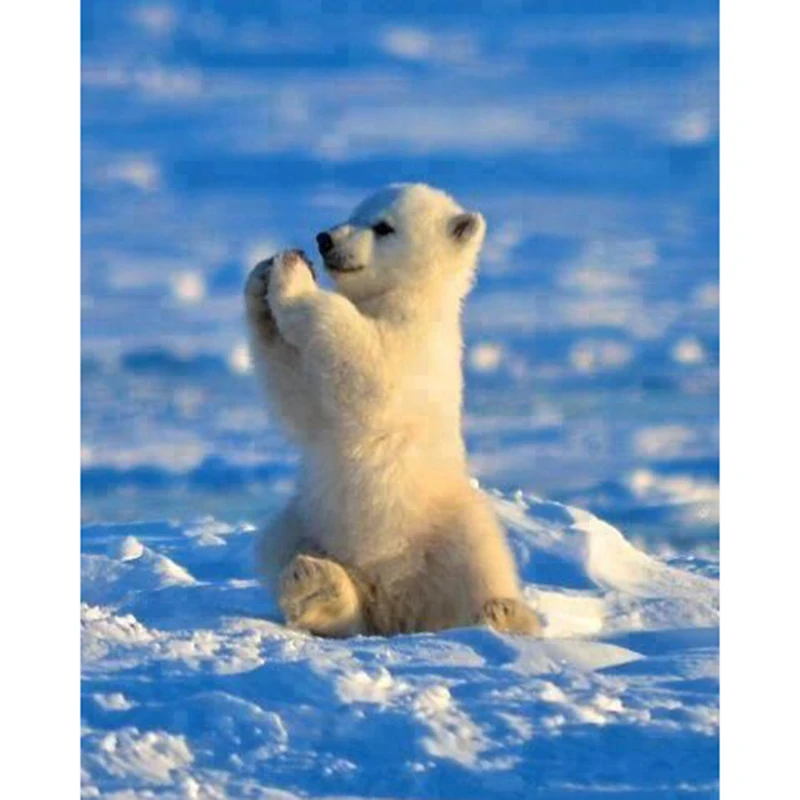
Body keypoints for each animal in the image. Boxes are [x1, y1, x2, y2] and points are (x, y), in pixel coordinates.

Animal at [245, 183, 542, 638]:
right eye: (354, 212)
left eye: (384, 226)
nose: (324, 240)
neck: (406, 300)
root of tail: (395, 605)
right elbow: (300, 396)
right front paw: (262, 277)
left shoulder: (416, 349)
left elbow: (365, 366)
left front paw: (292, 279)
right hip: (309, 520)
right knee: (280, 548)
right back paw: (317, 588)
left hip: (452, 527)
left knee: (479, 572)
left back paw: (503, 613)